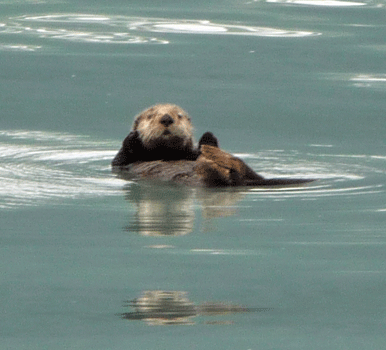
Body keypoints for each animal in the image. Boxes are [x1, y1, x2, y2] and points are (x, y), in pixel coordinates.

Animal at [112, 103, 314, 187]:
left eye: (179, 115)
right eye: (150, 116)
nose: (167, 118)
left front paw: (208, 137)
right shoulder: (122, 165)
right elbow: (120, 159)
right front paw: (133, 136)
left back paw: (214, 152)